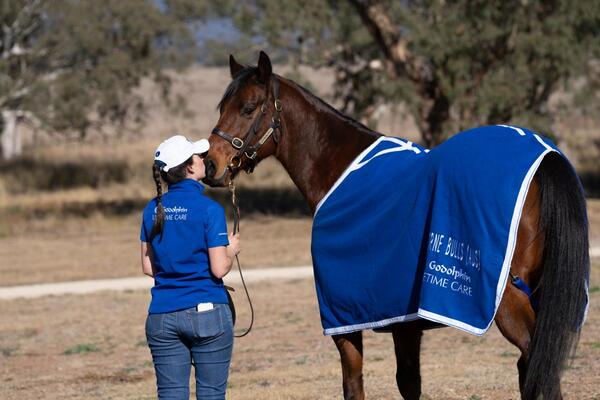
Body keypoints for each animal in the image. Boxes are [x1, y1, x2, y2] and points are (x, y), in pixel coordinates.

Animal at [204, 51, 588, 398]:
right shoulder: (404, 322)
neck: (342, 173)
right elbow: (409, 384)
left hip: (509, 300)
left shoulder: (345, 322)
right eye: (221, 107)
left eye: (248, 108)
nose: (209, 164)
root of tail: (544, 159)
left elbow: (354, 385)